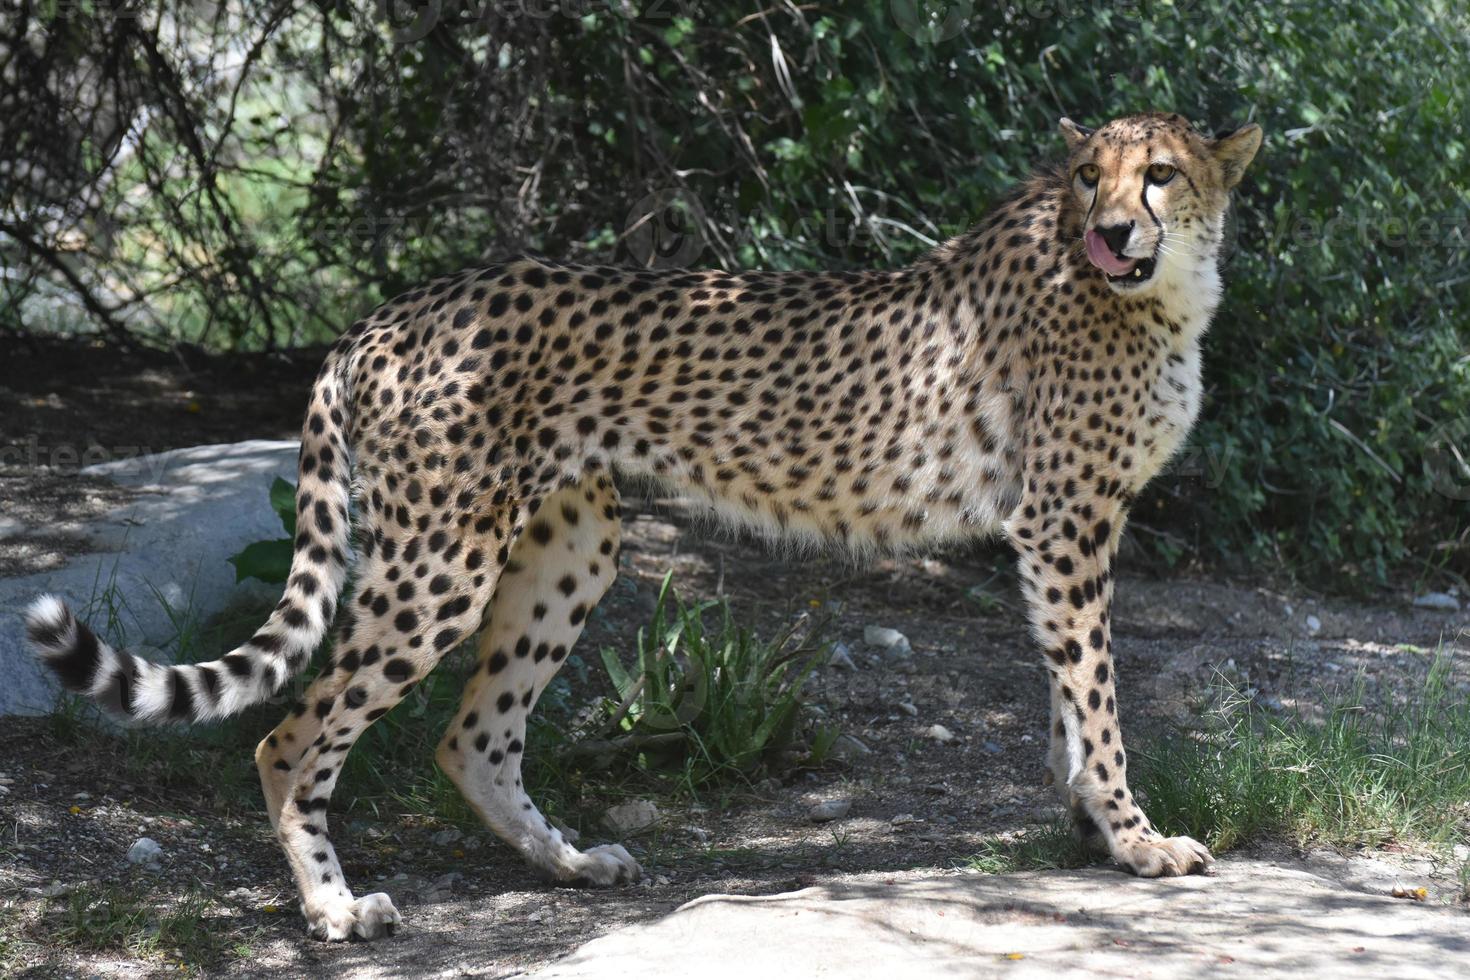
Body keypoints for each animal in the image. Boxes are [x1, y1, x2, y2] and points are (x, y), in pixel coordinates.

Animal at [25, 110, 1264, 940]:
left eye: (1159, 174)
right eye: (1092, 177)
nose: (1112, 229)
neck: (1160, 289)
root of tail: (389, 311)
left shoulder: (1064, 525)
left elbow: (1068, 688)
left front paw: (1089, 824)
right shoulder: (1067, 520)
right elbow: (1096, 689)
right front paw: (1135, 835)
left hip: (570, 546)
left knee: (469, 733)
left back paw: (571, 861)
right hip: (443, 559)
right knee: (292, 733)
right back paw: (334, 907)